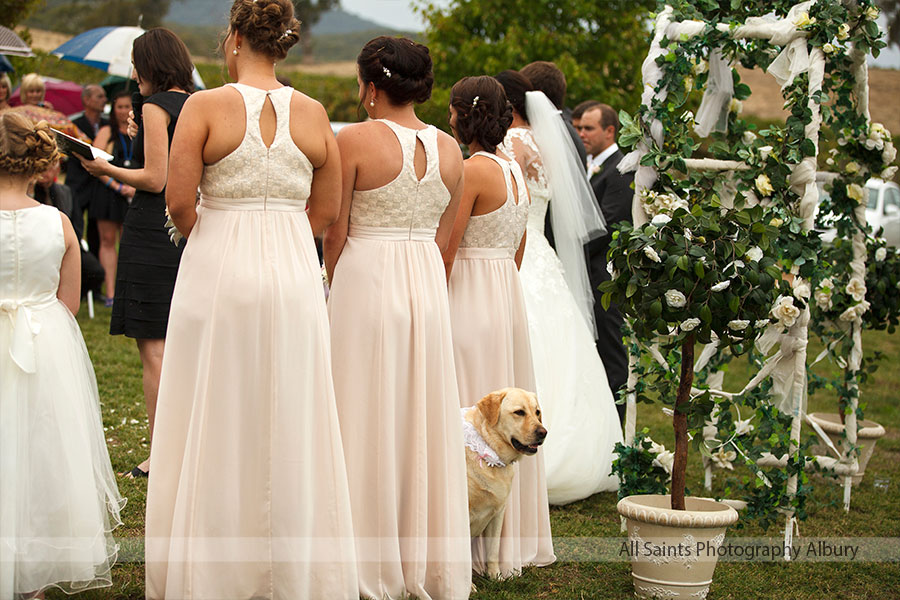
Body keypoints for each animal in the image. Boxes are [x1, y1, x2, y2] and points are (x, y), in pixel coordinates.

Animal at [464, 386, 548, 580]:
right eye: (519, 412)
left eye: (537, 412)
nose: (543, 433)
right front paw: (468, 585)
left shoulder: (497, 512)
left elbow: (493, 551)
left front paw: (496, 577)